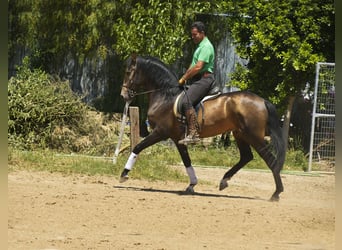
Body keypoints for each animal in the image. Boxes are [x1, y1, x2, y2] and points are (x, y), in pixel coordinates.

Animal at [119, 54, 284, 201]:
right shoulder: (177, 138)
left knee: (270, 160)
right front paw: (192, 185)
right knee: (246, 157)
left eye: (128, 72)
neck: (166, 96)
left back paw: (276, 193)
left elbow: (138, 147)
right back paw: (224, 181)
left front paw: (124, 174)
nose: (123, 95)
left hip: (254, 136)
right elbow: (186, 161)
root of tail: (262, 101)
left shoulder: (160, 132)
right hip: (240, 134)